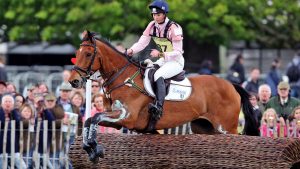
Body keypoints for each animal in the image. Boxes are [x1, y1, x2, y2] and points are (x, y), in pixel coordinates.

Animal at [69, 30, 258, 162]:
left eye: (87, 54)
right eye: (76, 54)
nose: (73, 81)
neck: (123, 78)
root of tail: (231, 85)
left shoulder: (127, 116)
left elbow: (95, 118)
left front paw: (95, 149)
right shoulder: (116, 120)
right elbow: (89, 120)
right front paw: (90, 149)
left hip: (227, 127)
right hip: (204, 127)